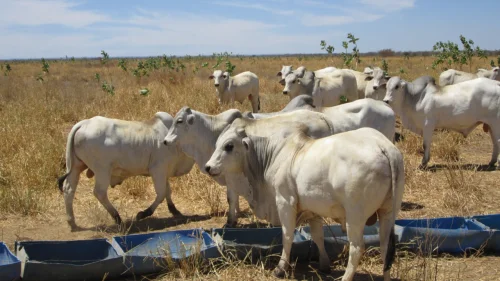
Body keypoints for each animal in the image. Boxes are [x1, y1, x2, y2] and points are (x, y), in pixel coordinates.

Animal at [56, 111, 193, 230]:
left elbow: (168, 191)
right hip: (102, 170)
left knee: (69, 189)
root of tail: (84, 123)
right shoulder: (158, 169)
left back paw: (72, 222)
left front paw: (174, 210)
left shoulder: (164, 172)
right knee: (99, 193)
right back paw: (117, 218)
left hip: (75, 167)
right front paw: (143, 213)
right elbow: (161, 193)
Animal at [164, 107, 334, 225]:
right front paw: (236, 215)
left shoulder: (231, 176)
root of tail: (321, 117)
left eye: (179, 121)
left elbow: (231, 198)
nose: (165, 141)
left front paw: (231, 221)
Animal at [205, 124, 404, 280]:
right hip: (388, 212)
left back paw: (346, 278)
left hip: (355, 216)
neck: (271, 155)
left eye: (229, 146)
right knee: (386, 247)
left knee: (357, 248)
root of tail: (383, 146)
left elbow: (287, 236)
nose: (208, 167)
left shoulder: (284, 202)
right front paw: (324, 265)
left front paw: (280, 268)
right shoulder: (313, 210)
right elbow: (317, 236)